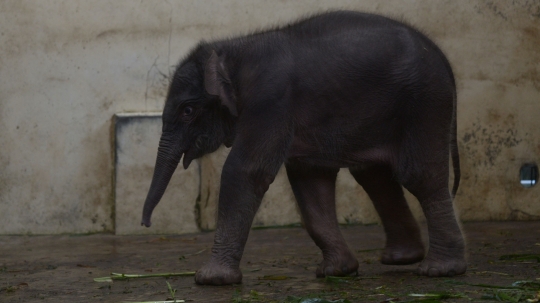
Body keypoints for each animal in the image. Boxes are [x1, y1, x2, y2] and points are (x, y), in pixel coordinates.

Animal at [139, 11, 464, 288]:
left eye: (187, 110)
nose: (146, 223)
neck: (231, 50)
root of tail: (443, 57)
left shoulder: (270, 101)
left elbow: (245, 172)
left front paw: (210, 279)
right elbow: (310, 179)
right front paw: (337, 271)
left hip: (425, 103)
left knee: (419, 176)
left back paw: (439, 270)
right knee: (374, 174)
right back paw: (401, 258)